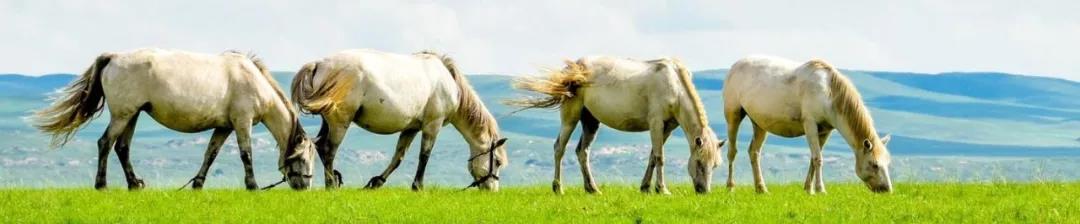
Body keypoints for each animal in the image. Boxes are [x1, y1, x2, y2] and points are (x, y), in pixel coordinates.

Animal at [30, 48, 315, 190]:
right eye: (302, 159)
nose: (305, 187)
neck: (252, 80)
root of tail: (114, 57)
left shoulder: (223, 127)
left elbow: (210, 154)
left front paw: (197, 184)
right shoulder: (241, 123)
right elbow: (246, 154)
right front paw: (252, 185)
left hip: (132, 115)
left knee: (122, 148)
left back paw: (134, 184)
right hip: (123, 115)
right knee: (105, 144)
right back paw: (102, 185)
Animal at [291, 49, 509, 190]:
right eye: (497, 162)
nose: (492, 189)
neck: (448, 83)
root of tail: (320, 64)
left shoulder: (411, 128)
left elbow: (398, 157)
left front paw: (376, 183)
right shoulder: (433, 125)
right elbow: (424, 156)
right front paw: (418, 186)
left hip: (328, 121)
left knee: (320, 147)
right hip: (340, 122)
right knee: (329, 150)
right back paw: (331, 186)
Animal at [505, 56, 725, 194]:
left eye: (715, 165)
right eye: (699, 163)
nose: (704, 191)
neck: (674, 85)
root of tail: (573, 67)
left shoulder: (668, 128)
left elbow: (652, 157)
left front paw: (645, 188)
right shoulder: (656, 123)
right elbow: (660, 157)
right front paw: (662, 189)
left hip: (590, 121)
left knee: (582, 152)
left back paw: (592, 189)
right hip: (571, 117)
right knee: (559, 148)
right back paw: (558, 188)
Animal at [725, 55, 894, 193]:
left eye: (887, 163)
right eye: (874, 164)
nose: (887, 190)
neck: (828, 92)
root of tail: (735, 65)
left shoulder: (825, 131)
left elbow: (813, 159)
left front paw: (808, 189)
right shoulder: (810, 125)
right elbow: (818, 158)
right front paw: (820, 189)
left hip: (759, 124)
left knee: (754, 152)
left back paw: (761, 189)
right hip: (733, 116)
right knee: (732, 152)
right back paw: (730, 187)